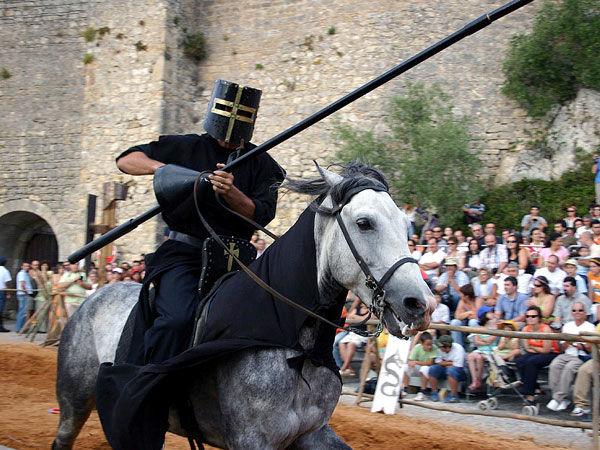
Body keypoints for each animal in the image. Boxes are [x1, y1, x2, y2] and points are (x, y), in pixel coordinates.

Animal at [54, 165, 434, 450]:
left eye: (406, 225)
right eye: (364, 222)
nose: (420, 304)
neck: (294, 347)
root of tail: (92, 298)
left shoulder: (312, 433)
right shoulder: (253, 440)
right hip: (75, 403)